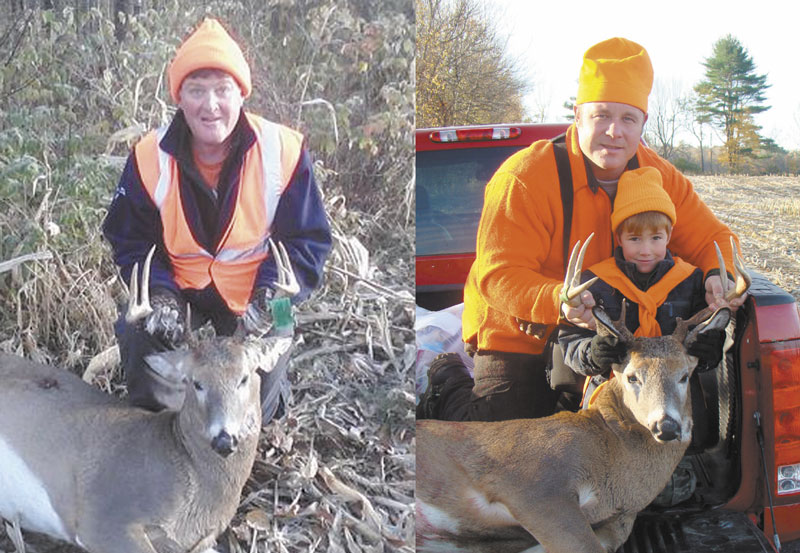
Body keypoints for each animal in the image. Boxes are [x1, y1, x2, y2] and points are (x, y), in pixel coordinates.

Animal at [418, 237, 752, 552]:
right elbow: (584, 544)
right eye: (632, 376)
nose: (666, 427)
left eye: (684, 375)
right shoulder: (534, 484)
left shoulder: (618, 519)